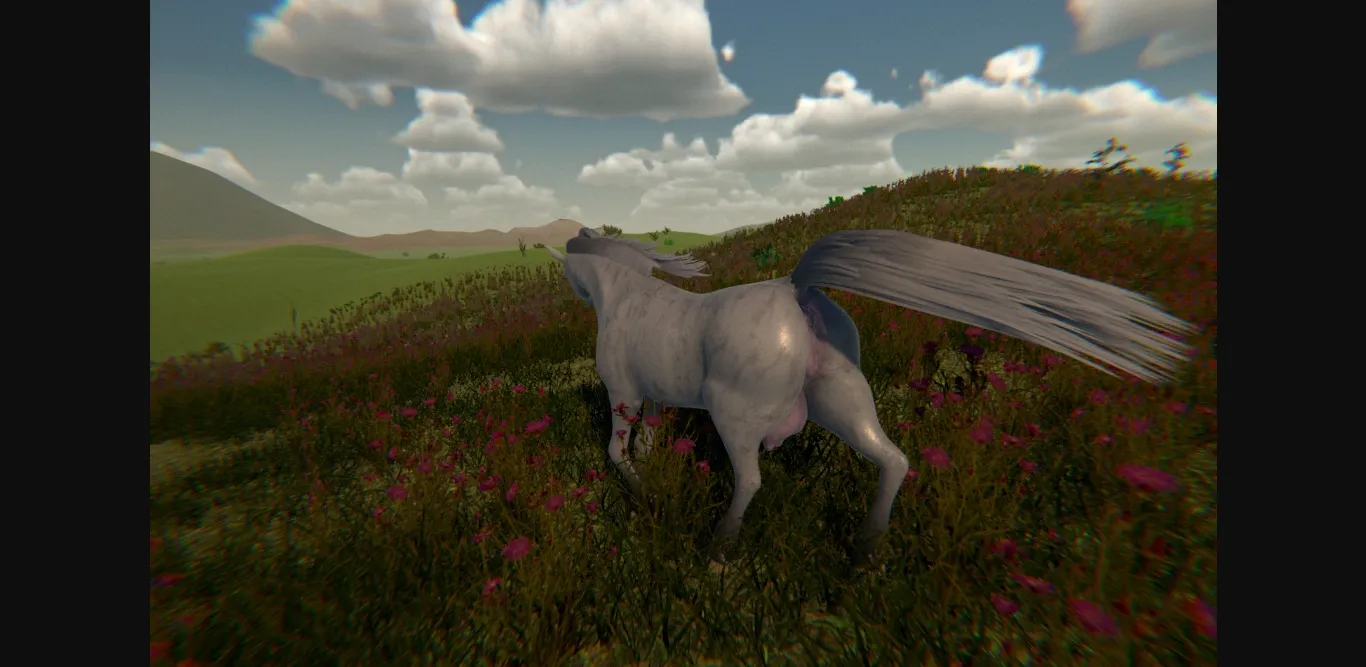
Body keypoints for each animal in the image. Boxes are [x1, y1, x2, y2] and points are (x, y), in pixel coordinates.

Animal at [546, 227, 1193, 565]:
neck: (628, 296)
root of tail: (796, 289)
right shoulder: (653, 398)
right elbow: (648, 442)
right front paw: (653, 480)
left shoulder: (625, 396)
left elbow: (617, 451)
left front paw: (641, 492)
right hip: (844, 403)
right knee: (894, 460)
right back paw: (865, 546)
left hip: (738, 415)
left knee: (751, 479)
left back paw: (719, 545)